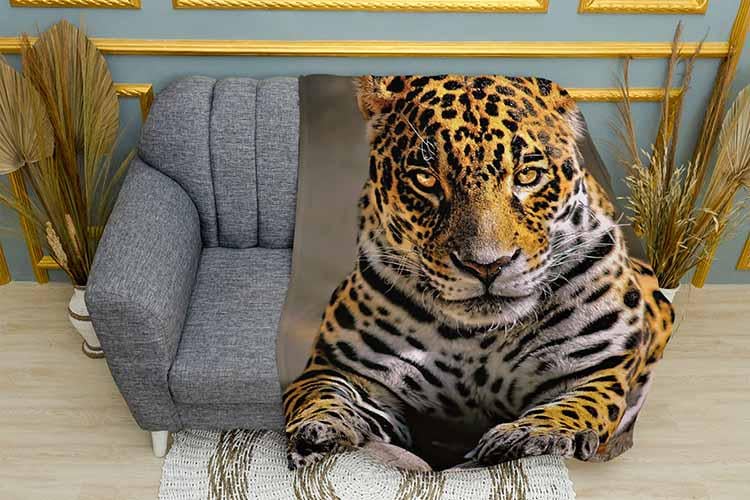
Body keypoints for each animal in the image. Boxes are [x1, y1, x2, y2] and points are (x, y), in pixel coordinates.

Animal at [282, 74, 674, 470]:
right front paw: (321, 433)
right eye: (426, 179)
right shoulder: (343, 370)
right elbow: (322, 396)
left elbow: (573, 409)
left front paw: (530, 436)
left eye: (528, 175)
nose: (486, 265)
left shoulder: (592, 373)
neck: (480, 338)